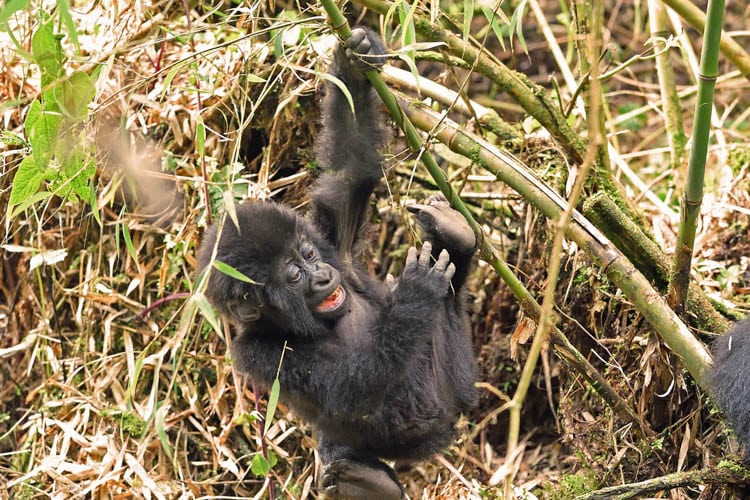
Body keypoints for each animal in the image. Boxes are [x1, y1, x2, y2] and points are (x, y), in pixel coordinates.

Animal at [198, 28, 482, 500]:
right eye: (294, 276)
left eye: (309, 255)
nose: (321, 276)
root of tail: (439, 437)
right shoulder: (252, 351)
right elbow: (346, 388)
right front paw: (414, 295)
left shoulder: (334, 243)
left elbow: (350, 171)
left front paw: (356, 58)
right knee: (338, 444)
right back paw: (367, 482)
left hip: (457, 383)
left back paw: (455, 238)